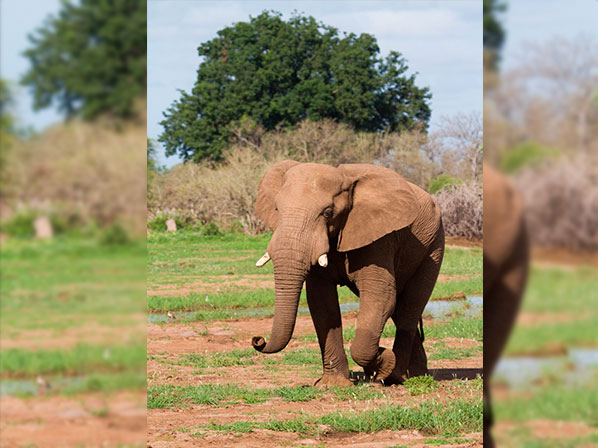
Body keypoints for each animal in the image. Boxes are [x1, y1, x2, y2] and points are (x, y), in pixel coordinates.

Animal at [250, 160, 446, 384]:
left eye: (327, 213)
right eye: (276, 208)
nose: (258, 339)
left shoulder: (379, 239)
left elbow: (381, 296)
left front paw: (382, 364)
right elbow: (322, 303)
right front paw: (332, 385)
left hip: (434, 245)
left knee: (408, 310)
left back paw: (397, 376)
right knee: (400, 311)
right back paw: (415, 375)